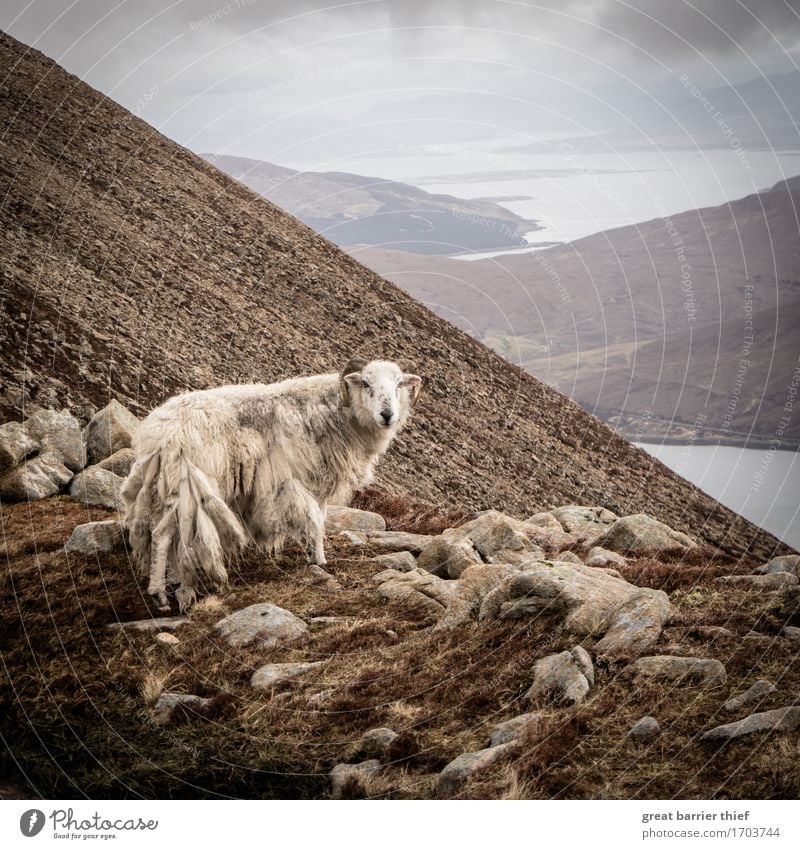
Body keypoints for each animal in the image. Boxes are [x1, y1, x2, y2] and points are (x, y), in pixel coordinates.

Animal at [122, 358, 422, 608]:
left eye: (398, 385)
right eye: (366, 384)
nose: (387, 415)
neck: (335, 410)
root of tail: (157, 433)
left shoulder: (319, 484)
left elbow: (321, 518)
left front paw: (314, 554)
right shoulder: (292, 479)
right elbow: (314, 520)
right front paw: (320, 561)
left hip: (167, 487)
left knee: (164, 533)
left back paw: (178, 585)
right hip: (189, 482)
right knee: (162, 534)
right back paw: (159, 594)